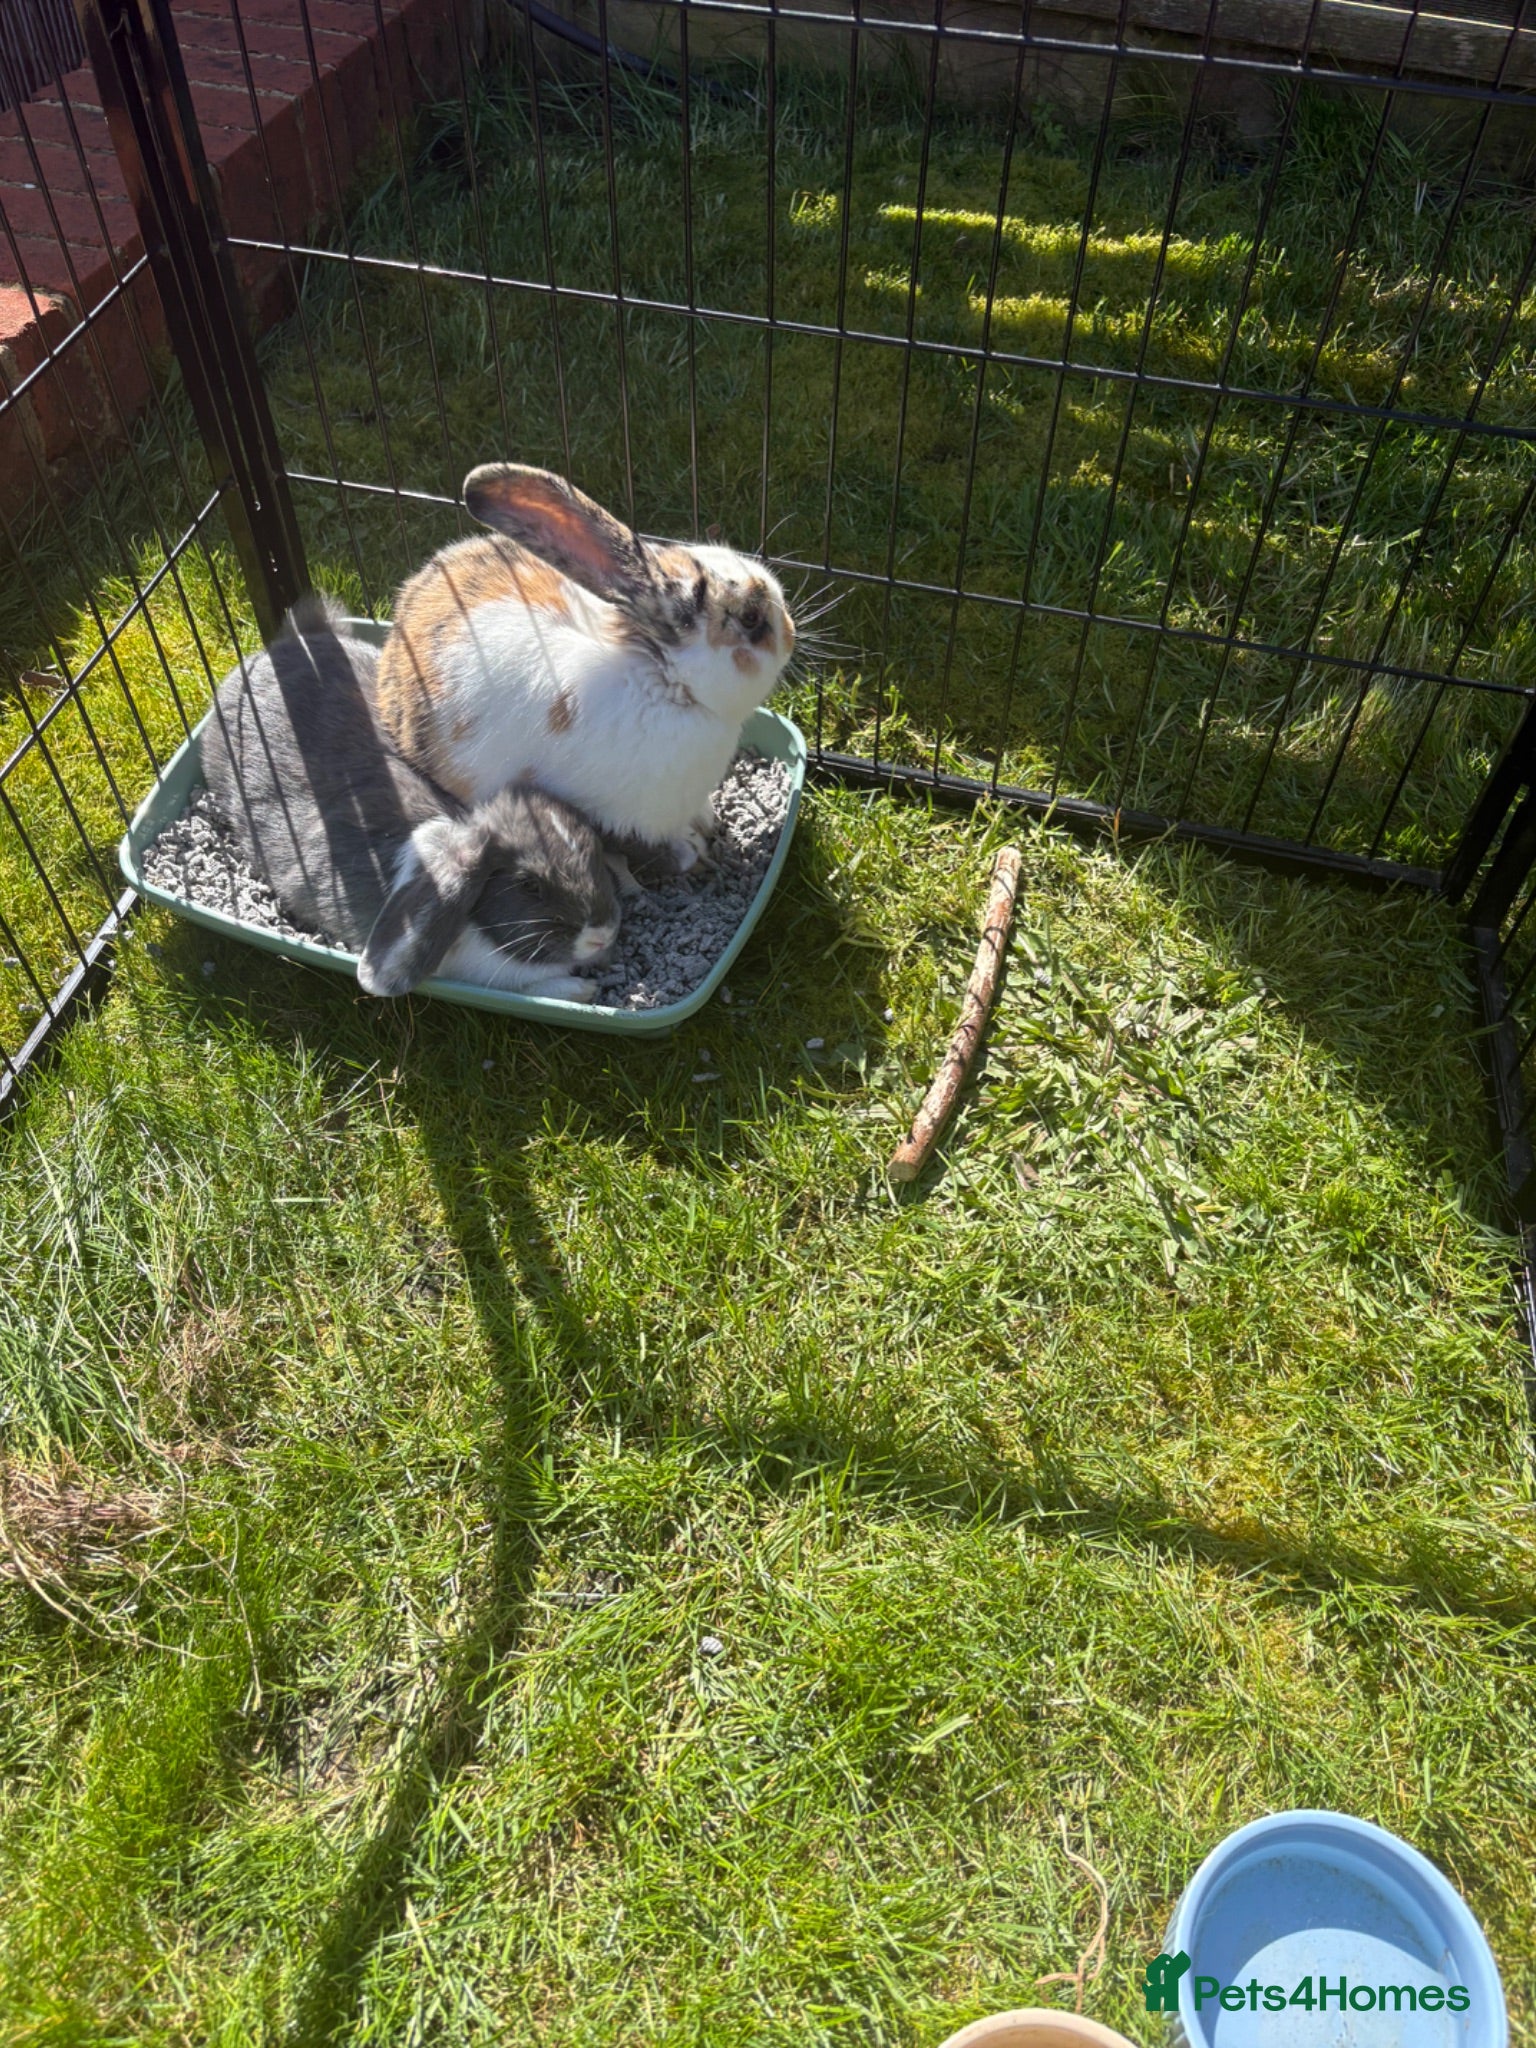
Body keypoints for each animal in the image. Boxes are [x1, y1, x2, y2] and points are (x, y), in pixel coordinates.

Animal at [370, 464, 797, 872]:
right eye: (751, 617)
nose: (791, 632)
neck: (663, 681)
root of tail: (400, 624)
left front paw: (708, 822)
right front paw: (693, 852)